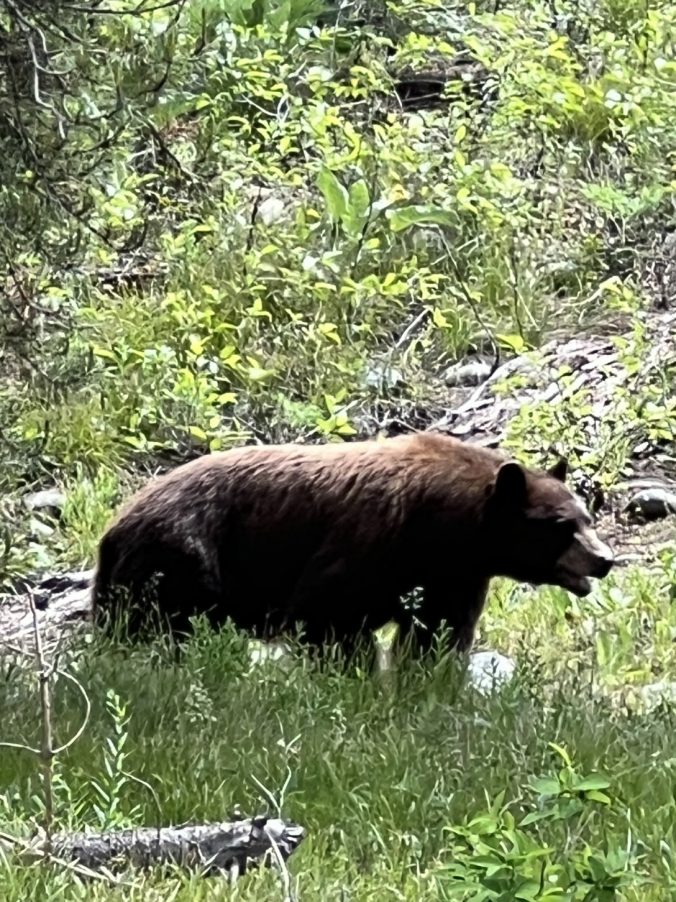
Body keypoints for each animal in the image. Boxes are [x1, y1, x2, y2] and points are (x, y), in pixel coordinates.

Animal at [91, 432, 614, 658]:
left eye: (587, 517)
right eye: (561, 525)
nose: (604, 559)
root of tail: (113, 527)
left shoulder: (453, 575)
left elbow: (437, 633)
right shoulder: (372, 539)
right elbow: (328, 614)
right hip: (180, 556)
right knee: (163, 621)